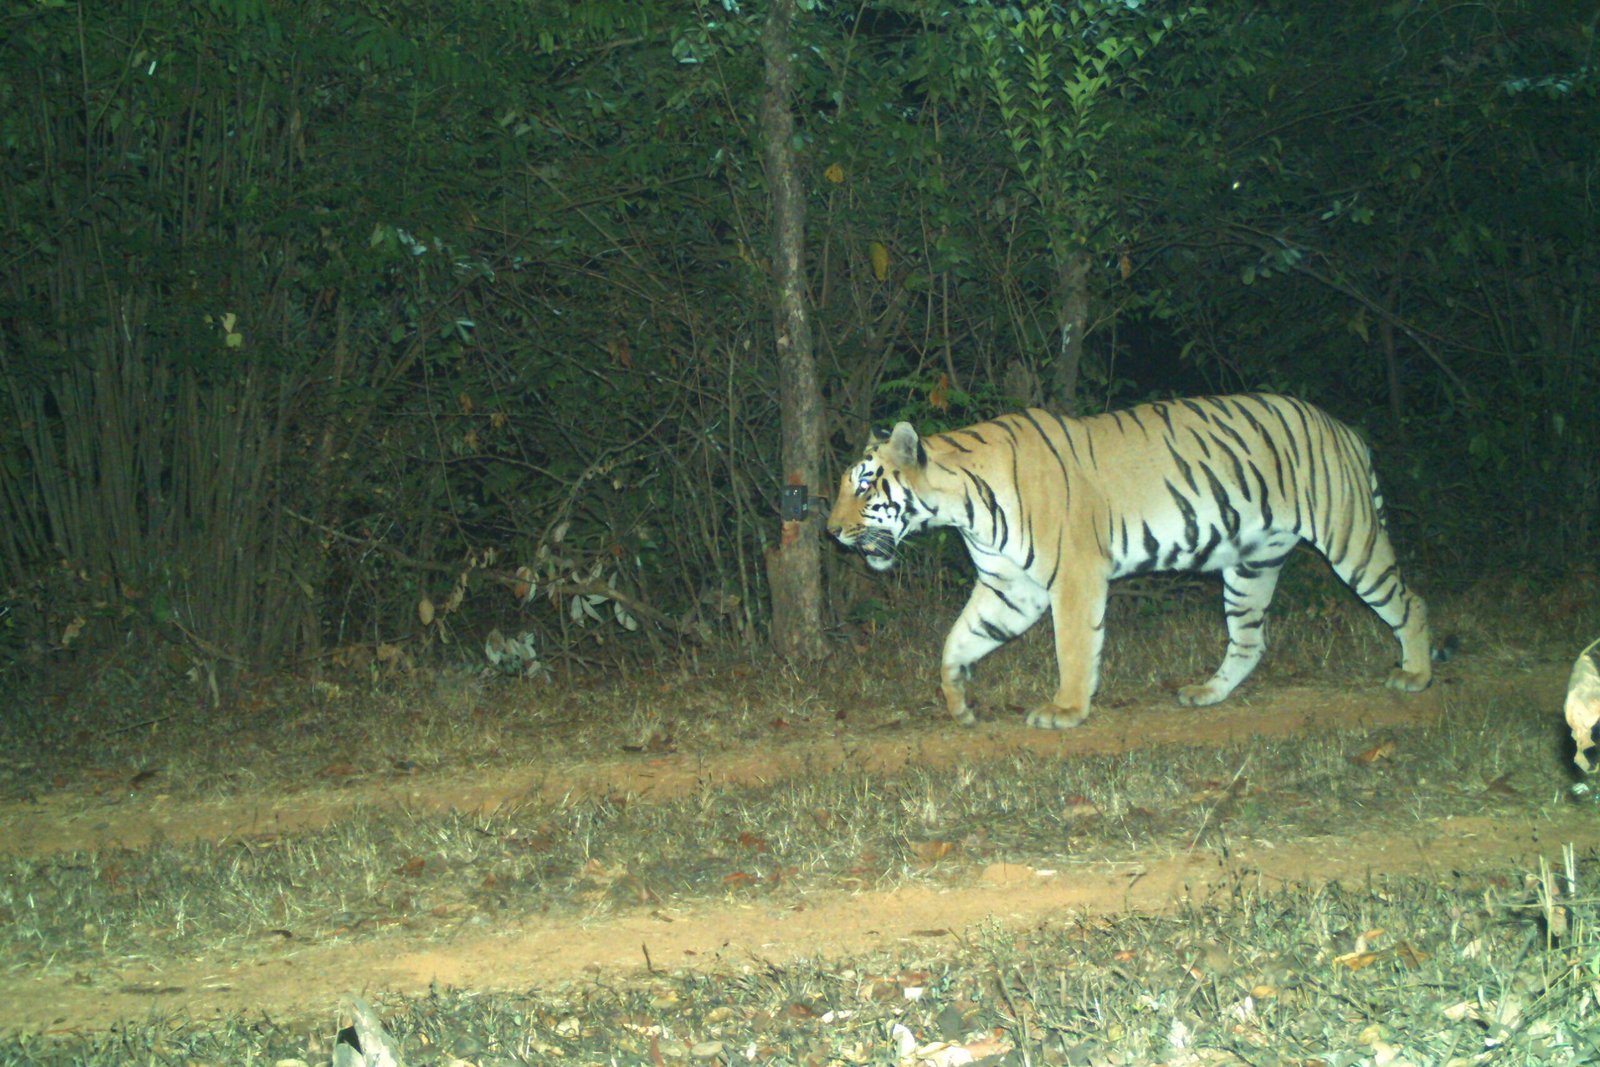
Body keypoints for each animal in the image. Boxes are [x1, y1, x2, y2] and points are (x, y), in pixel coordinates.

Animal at [827, 393, 1433, 729]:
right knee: (1250, 640)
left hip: (1350, 540)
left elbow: (1073, 648)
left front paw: (1067, 710)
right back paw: (1207, 693)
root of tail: (1346, 430)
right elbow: (957, 640)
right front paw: (958, 702)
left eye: (864, 485)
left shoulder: (1074, 576)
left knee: (1410, 601)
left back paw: (1416, 674)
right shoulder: (1008, 587)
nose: (830, 531)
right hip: (1250, 565)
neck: (962, 506)